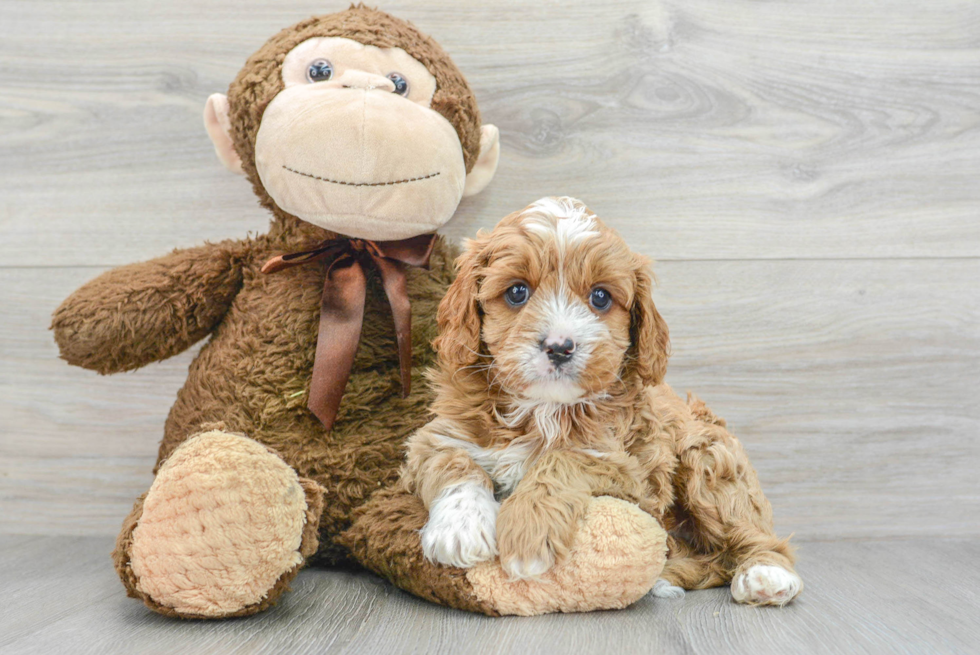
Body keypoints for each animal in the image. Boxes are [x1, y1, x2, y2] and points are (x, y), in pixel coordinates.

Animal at [400, 197, 804, 608]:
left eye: (600, 297)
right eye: (516, 292)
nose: (559, 346)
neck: (545, 410)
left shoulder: (632, 472)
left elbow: (563, 459)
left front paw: (528, 532)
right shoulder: (437, 436)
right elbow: (453, 460)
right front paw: (459, 529)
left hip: (707, 462)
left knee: (753, 533)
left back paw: (766, 574)